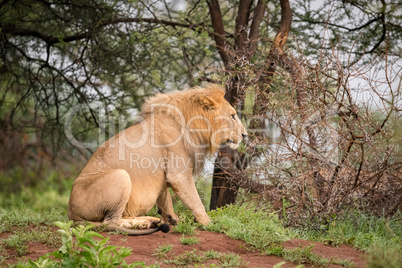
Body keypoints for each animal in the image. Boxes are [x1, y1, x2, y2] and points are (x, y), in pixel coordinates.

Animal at [67, 84, 247, 234]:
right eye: (232, 116)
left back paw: (151, 220)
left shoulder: (164, 175)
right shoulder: (179, 175)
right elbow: (196, 202)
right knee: (110, 222)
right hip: (121, 175)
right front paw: (209, 223)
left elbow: (165, 200)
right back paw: (142, 224)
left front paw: (173, 219)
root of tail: (71, 215)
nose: (245, 135)